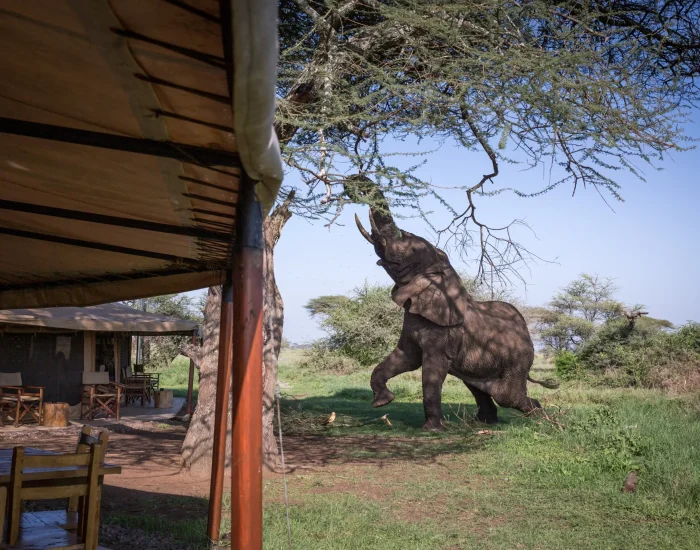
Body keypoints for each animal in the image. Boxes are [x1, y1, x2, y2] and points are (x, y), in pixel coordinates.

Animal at [355, 206, 558, 430]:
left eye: (412, 247)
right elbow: (405, 358)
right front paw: (383, 401)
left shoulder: (445, 333)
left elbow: (431, 371)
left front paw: (432, 430)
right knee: (480, 389)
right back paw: (484, 422)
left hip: (517, 360)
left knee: (508, 396)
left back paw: (542, 420)